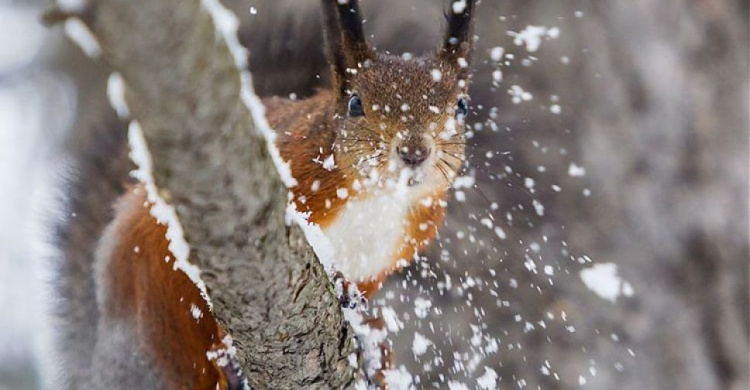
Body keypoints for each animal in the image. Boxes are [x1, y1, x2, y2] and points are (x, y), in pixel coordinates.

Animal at [60, 1, 476, 388]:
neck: (378, 196)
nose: (414, 152)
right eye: (356, 103)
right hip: (150, 302)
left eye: (461, 105)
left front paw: (365, 327)